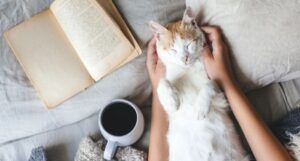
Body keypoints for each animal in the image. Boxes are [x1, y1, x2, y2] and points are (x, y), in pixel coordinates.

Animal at [148, 7, 248, 161]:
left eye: (188, 44)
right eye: (173, 50)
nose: (184, 58)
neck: (189, 69)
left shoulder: (221, 93)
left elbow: (210, 84)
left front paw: (200, 108)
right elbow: (162, 82)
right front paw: (172, 101)